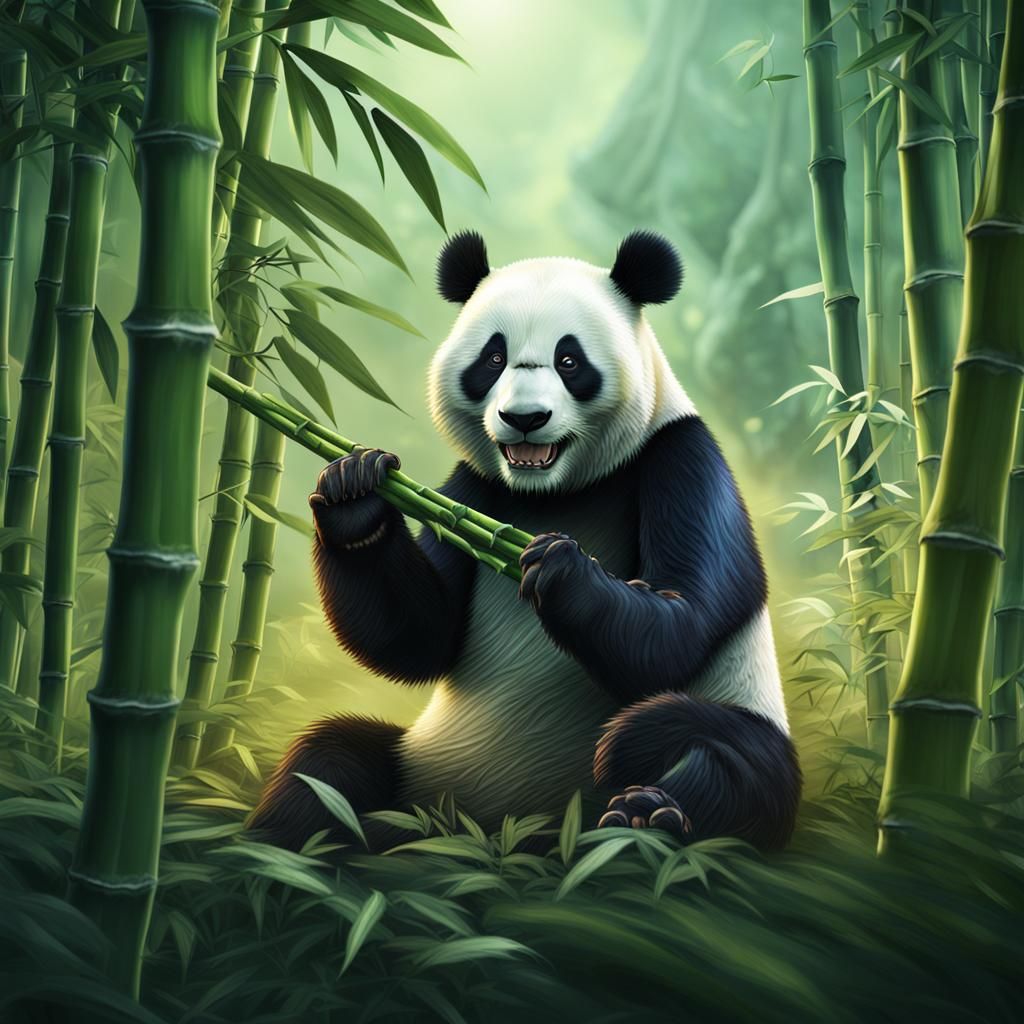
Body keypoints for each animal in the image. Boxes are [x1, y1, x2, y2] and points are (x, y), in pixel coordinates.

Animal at [250, 230, 801, 852]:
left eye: (569, 360)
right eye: (493, 359)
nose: (525, 418)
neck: (555, 492)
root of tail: (490, 828)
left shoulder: (681, 458)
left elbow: (679, 631)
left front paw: (560, 570)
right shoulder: (476, 487)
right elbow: (420, 637)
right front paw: (354, 490)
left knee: (729, 762)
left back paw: (646, 814)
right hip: (416, 766)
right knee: (327, 765)